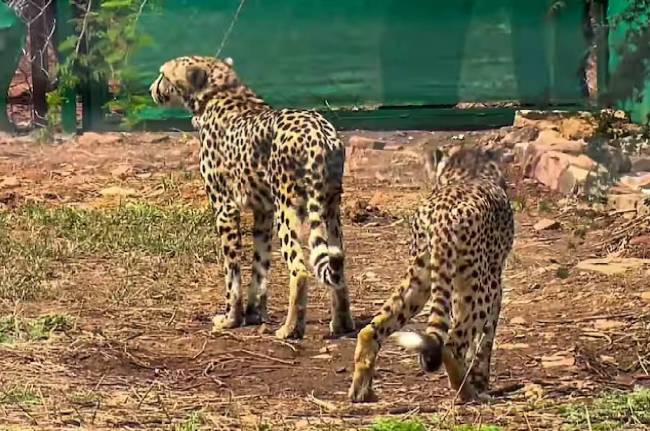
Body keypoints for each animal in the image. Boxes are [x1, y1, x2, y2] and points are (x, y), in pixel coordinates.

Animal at [149, 55, 355, 339]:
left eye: (163, 75)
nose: (151, 88)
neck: (220, 92)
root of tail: (318, 131)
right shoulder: (263, 211)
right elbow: (259, 266)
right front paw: (254, 313)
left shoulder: (225, 209)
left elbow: (232, 271)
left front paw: (231, 318)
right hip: (330, 207)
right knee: (338, 264)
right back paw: (342, 323)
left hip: (287, 208)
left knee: (300, 269)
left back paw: (290, 329)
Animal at [348, 145, 514, 403]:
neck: (468, 172)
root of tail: (442, 217)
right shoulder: (494, 282)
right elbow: (485, 340)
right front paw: (480, 381)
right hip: (480, 287)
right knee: (452, 344)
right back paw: (467, 393)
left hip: (420, 280)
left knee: (370, 330)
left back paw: (361, 391)